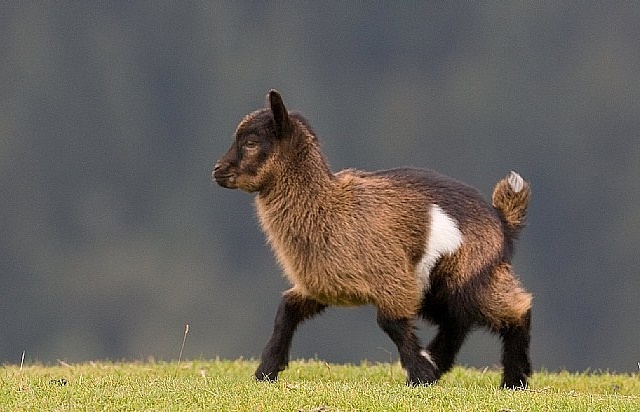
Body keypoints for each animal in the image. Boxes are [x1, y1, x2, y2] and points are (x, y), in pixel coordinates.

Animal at [212, 90, 532, 390]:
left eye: (251, 142)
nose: (217, 171)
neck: (328, 207)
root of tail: (501, 220)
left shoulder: (391, 278)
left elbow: (391, 323)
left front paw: (420, 376)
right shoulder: (324, 285)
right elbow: (287, 309)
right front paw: (265, 373)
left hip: (468, 276)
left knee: (515, 310)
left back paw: (513, 380)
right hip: (439, 288)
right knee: (458, 322)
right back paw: (441, 363)